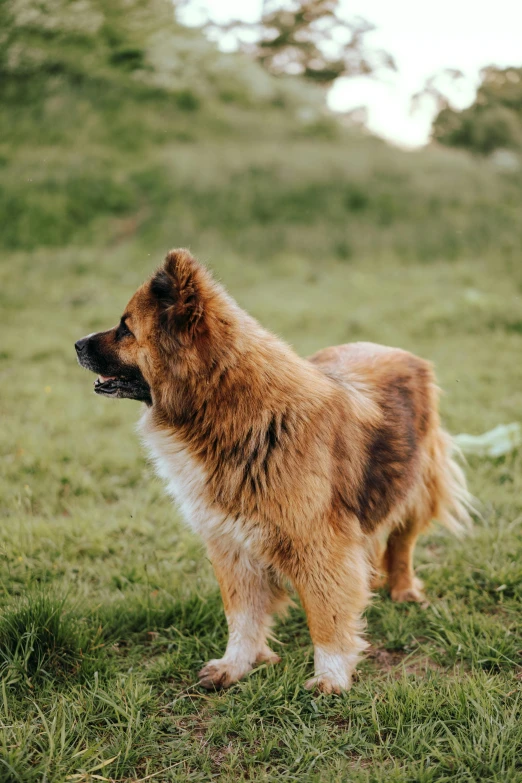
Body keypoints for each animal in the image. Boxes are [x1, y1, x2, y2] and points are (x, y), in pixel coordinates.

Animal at [74, 250, 472, 692]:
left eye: (126, 328)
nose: (76, 344)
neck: (236, 414)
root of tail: (399, 352)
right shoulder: (230, 542)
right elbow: (242, 616)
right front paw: (237, 665)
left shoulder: (318, 544)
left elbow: (326, 617)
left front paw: (331, 677)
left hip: (414, 487)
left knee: (402, 542)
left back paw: (403, 590)